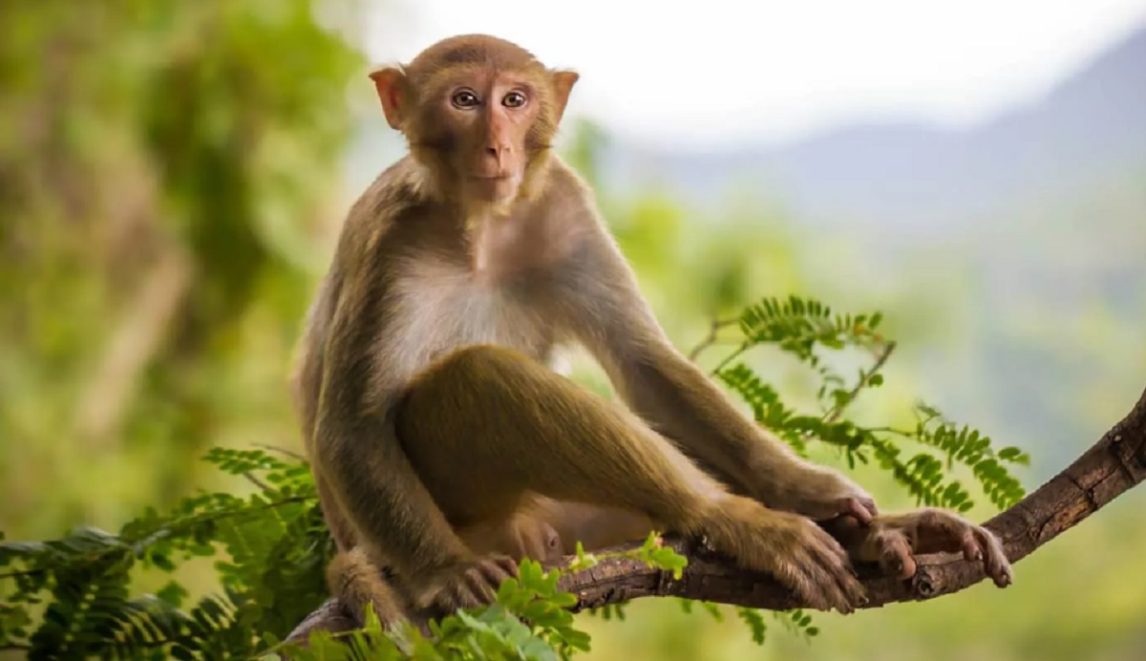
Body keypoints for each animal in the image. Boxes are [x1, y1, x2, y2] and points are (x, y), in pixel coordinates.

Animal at [291, 34, 1012, 624]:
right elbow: (353, 427)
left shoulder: (565, 207)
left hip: (577, 522)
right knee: (479, 376)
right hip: (475, 516)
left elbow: (645, 365)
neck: (482, 226)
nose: (496, 143)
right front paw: (447, 572)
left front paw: (804, 488)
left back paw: (874, 533)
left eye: (515, 99)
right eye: (464, 100)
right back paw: (737, 522)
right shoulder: (391, 242)